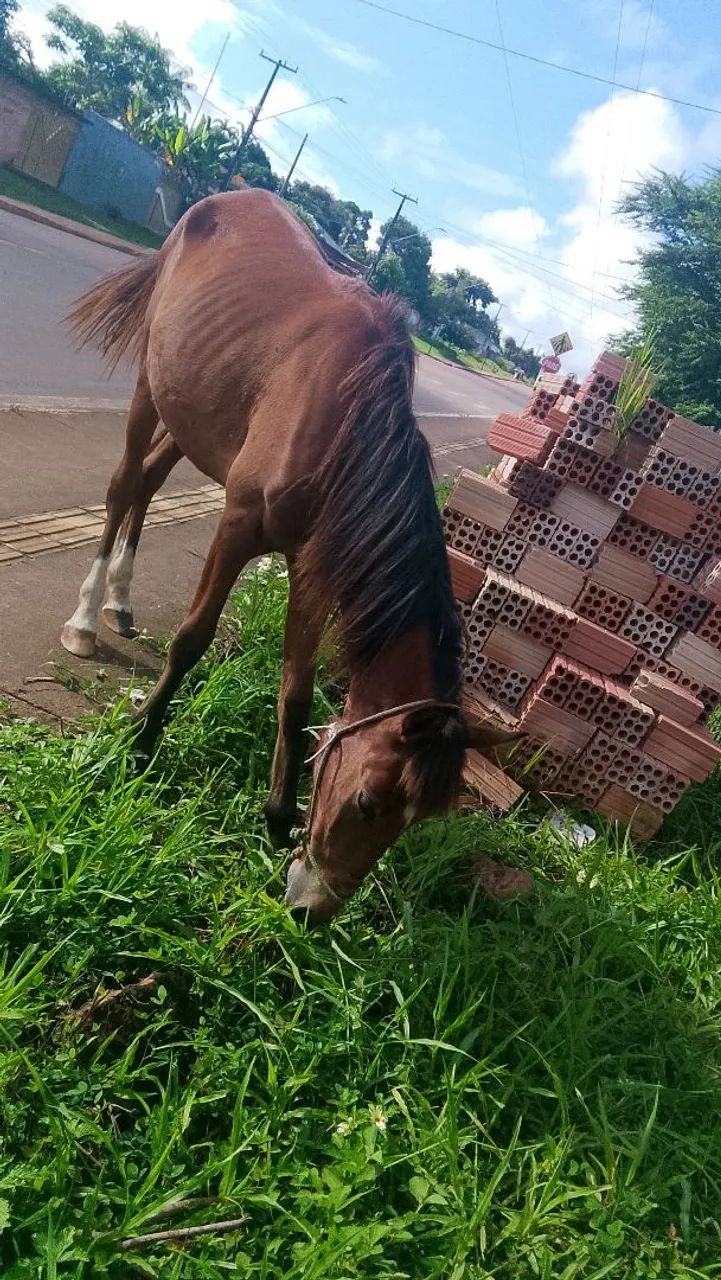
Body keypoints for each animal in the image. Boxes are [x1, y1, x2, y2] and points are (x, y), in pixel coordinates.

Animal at [62, 189, 518, 921]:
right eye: (368, 801)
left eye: (415, 822)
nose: (311, 910)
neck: (342, 420)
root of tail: (221, 198)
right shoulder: (238, 528)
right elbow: (192, 639)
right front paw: (142, 742)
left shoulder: (311, 564)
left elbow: (296, 691)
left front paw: (276, 818)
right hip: (149, 388)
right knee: (125, 483)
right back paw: (84, 617)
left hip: (195, 411)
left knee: (152, 480)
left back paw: (121, 601)